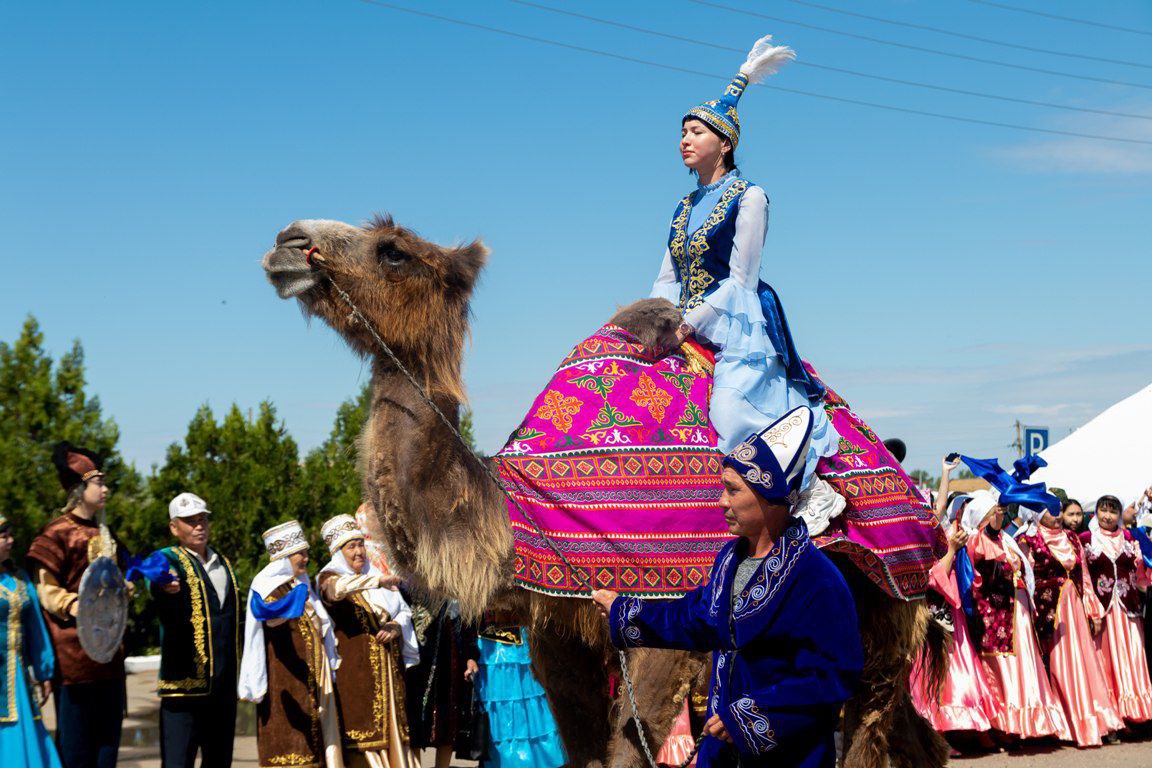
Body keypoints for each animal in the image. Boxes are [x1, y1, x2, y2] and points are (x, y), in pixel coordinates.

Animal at [264, 215, 949, 768]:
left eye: (393, 250)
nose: (289, 241)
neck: (520, 510)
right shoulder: (555, 624)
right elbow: (584, 746)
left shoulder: (669, 601)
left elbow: (629, 742)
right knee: (912, 737)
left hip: (892, 600)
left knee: (867, 726)